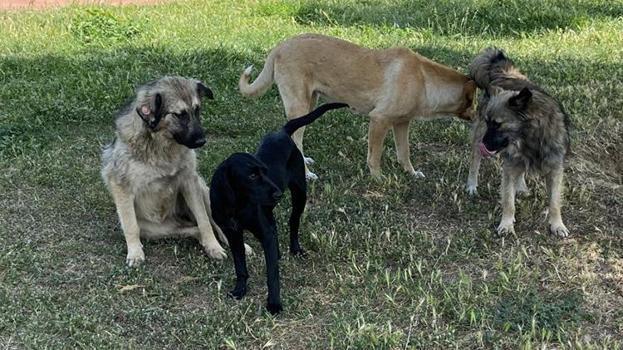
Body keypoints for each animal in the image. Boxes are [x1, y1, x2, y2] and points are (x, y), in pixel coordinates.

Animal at [101, 76, 230, 266]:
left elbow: (204, 220)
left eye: (197, 110)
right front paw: (135, 253)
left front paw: (214, 247)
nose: (202, 141)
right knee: (193, 229)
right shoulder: (120, 185)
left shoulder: (189, 181)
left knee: (214, 223)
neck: (162, 146)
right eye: (179, 114)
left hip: (204, 192)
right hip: (156, 229)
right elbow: (130, 226)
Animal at [208, 101, 346, 314]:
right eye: (252, 176)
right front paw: (240, 289)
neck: (236, 205)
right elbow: (240, 266)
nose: (278, 193)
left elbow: (272, 274)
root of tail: (282, 132)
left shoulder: (263, 233)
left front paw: (274, 304)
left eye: (265, 171)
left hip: (299, 194)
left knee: (293, 222)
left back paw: (295, 249)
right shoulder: (233, 234)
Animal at [239, 33, 478, 180]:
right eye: (474, 101)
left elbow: (404, 153)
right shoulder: (379, 120)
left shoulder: (402, 123)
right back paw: (306, 173)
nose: (478, 118)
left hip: (308, 104)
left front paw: (411, 173)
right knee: (297, 139)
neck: (424, 80)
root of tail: (281, 45)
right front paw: (379, 179)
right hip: (300, 105)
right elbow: (375, 157)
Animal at [468, 47, 572, 237]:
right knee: (475, 161)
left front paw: (557, 225)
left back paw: (521, 186)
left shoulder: (555, 169)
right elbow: (509, 201)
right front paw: (506, 224)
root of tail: (505, 74)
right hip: (479, 137)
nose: (484, 145)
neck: (532, 138)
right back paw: (472, 184)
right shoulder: (509, 166)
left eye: (497, 124)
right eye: (488, 122)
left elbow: (554, 202)